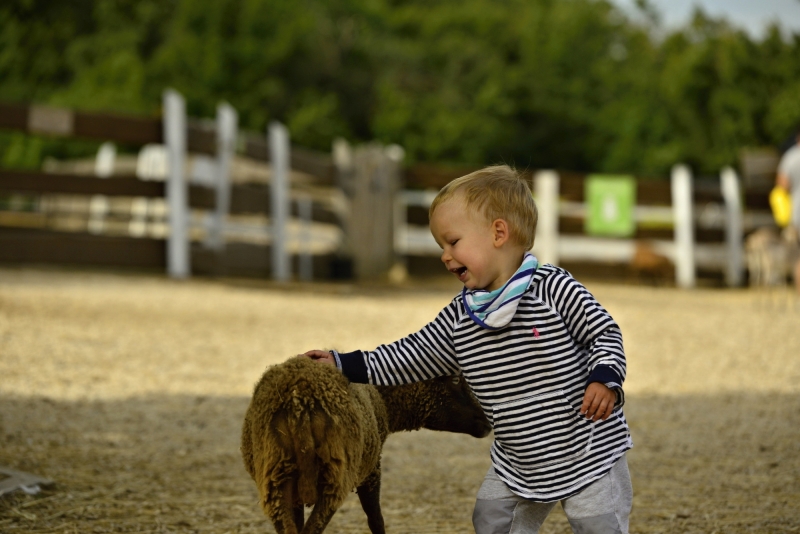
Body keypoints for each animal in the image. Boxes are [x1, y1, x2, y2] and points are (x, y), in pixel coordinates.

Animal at [239, 356, 488, 534]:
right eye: (455, 379)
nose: (487, 421)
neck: (384, 401)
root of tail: (299, 400)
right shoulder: (372, 470)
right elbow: (376, 520)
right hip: (335, 475)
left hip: (276, 477)